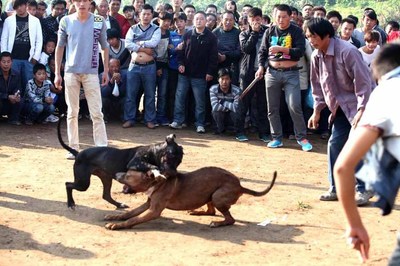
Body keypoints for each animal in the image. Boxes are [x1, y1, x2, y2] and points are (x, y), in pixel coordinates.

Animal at [103, 167, 276, 230]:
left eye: (127, 175)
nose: (115, 173)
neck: (156, 182)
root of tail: (240, 186)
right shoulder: (148, 204)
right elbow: (129, 213)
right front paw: (114, 217)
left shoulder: (154, 211)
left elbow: (133, 219)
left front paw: (118, 225)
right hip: (210, 195)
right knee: (211, 210)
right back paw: (197, 211)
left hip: (218, 196)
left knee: (230, 219)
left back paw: (217, 223)